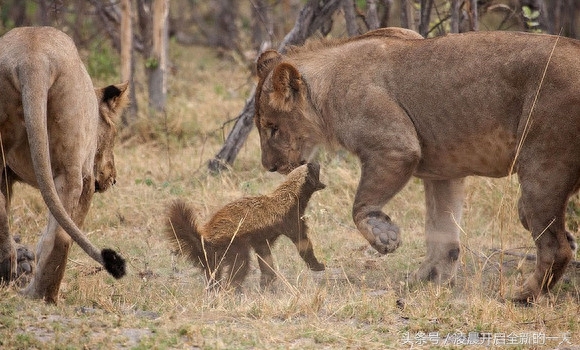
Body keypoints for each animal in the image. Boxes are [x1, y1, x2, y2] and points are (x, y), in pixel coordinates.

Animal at [0, 26, 128, 300]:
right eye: (114, 134)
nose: (113, 178)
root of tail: (33, 57)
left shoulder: (5, 173)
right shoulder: (87, 175)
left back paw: (12, 272)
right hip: (72, 166)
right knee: (61, 235)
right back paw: (42, 295)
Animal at [165, 163, 326, 290]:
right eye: (313, 168)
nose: (316, 161)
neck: (290, 195)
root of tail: (204, 238)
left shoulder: (261, 239)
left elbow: (265, 257)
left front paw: (267, 281)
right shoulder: (291, 220)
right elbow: (303, 243)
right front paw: (318, 266)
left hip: (214, 256)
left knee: (213, 273)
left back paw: (215, 289)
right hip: (233, 245)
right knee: (240, 266)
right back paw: (232, 289)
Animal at [256, 27, 580, 302]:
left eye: (272, 128)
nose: (269, 166)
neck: (326, 90)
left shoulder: (396, 147)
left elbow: (360, 205)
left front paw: (384, 237)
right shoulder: (444, 172)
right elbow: (441, 233)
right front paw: (427, 279)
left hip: (543, 167)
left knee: (555, 247)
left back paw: (523, 295)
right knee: (545, 231)